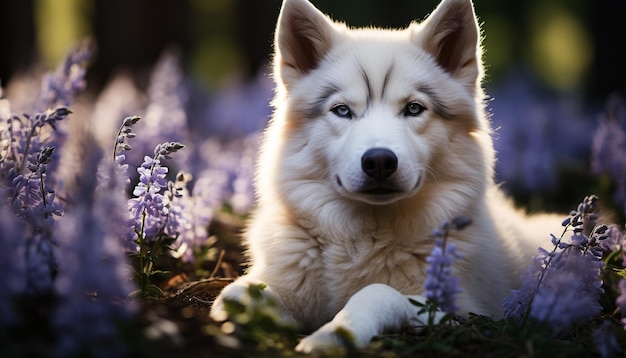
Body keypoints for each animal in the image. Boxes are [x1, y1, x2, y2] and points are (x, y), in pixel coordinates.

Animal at [210, 0, 556, 352]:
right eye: (342, 110)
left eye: (414, 108)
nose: (378, 161)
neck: (363, 240)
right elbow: (235, 294)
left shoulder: (459, 309)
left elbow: (377, 292)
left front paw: (336, 333)